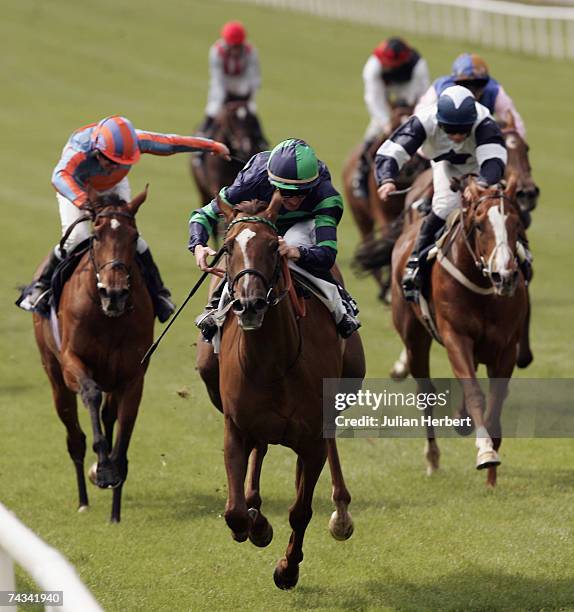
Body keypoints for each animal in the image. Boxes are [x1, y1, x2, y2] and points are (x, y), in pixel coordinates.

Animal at [33, 190, 154, 520]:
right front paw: (103, 470)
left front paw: (115, 504)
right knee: (75, 437)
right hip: (55, 378)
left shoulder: (132, 376)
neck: (107, 317)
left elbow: (123, 438)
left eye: (134, 236)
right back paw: (84, 498)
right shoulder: (72, 363)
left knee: (108, 416)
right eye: (97, 236)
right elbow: (90, 393)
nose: (114, 293)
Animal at [197, 201, 368, 588]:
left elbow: (300, 510)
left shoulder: (312, 438)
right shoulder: (236, 427)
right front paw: (255, 525)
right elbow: (234, 511)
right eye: (227, 248)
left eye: (274, 248)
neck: (271, 365)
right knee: (259, 454)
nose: (249, 305)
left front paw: (287, 569)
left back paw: (341, 514)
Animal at [394, 177, 528, 488]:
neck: (483, 288)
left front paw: (491, 478)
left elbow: (495, 401)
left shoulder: (506, 346)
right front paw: (486, 452)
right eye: (479, 225)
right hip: (414, 338)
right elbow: (475, 393)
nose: (504, 276)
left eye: (517, 223)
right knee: (426, 393)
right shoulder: (457, 337)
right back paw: (432, 458)